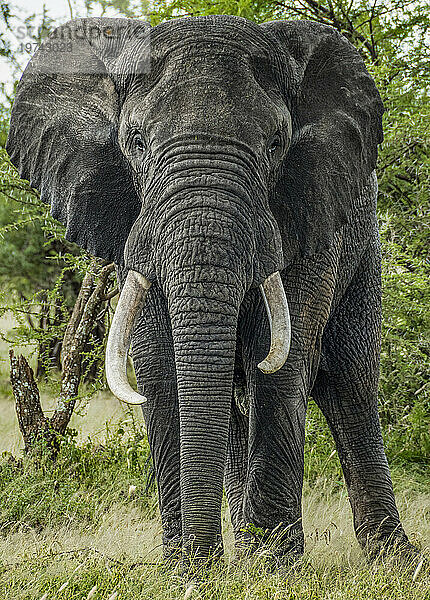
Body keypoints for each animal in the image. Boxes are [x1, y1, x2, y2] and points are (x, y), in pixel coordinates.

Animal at [5, 14, 416, 568]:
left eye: (275, 145)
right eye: (135, 142)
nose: (206, 561)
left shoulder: (306, 212)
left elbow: (280, 365)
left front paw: (275, 568)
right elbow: (159, 367)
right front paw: (188, 568)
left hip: (363, 244)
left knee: (348, 384)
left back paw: (393, 560)